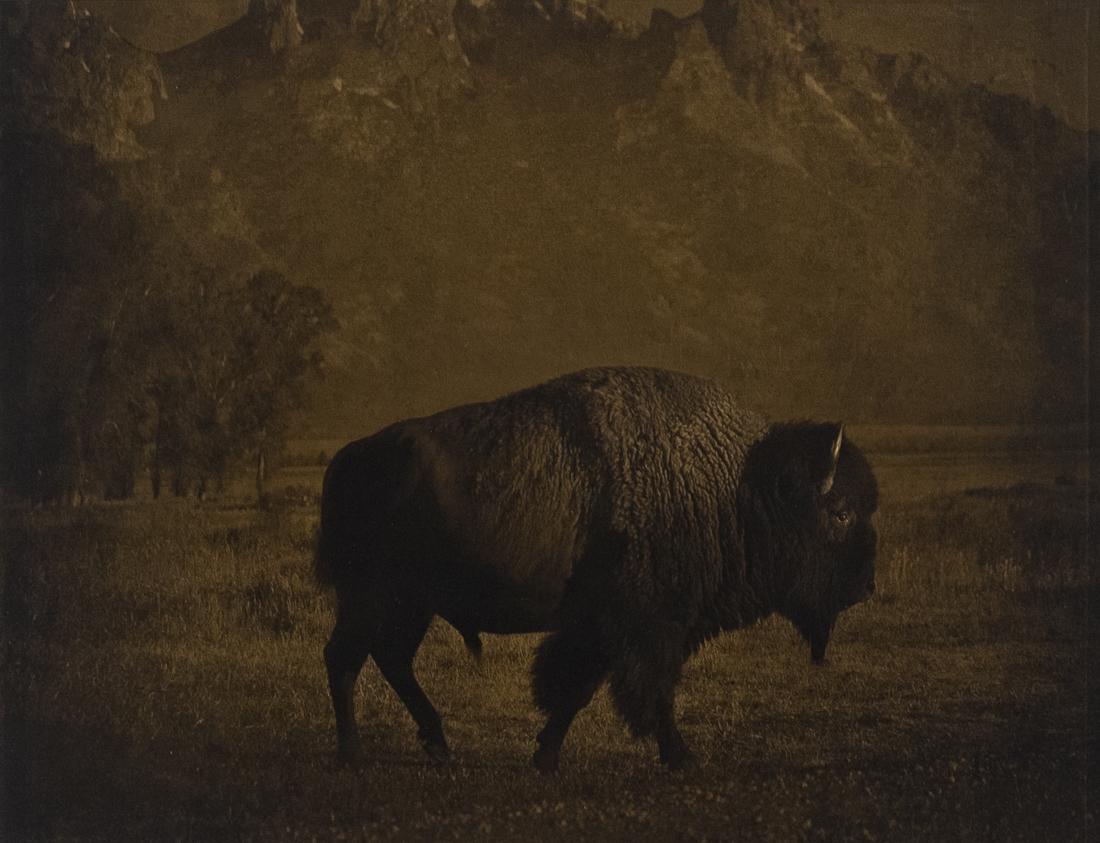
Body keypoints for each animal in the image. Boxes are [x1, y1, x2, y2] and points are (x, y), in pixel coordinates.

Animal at [315, 366, 878, 770]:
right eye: (841, 513)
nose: (866, 586)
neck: (737, 485)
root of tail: (351, 456)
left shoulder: (601, 627)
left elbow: (575, 689)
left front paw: (545, 754)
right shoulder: (650, 625)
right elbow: (651, 692)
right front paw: (682, 757)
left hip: (410, 603)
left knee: (388, 658)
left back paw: (437, 744)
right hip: (374, 596)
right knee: (345, 658)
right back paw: (353, 754)